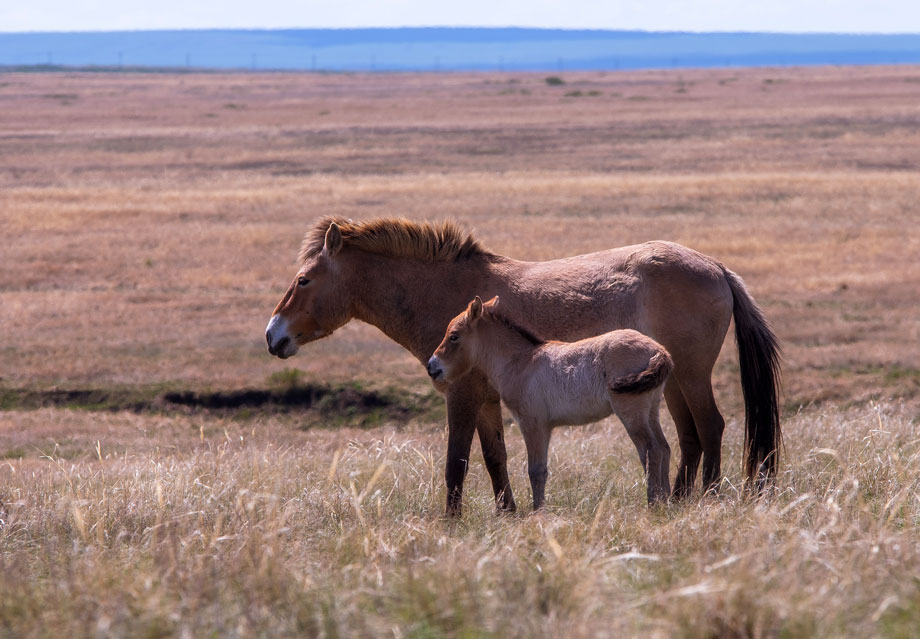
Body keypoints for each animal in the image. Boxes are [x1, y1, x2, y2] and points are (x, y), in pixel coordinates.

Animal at [428, 296, 672, 510]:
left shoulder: (532, 424)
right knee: (663, 448)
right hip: (651, 410)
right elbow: (542, 470)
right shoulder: (545, 427)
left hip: (631, 412)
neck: (521, 362)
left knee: (650, 450)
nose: (432, 367)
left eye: (454, 336)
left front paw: (538, 512)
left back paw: (652, 504)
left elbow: (535, 471)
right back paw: (667, 501)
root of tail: (658, 350)